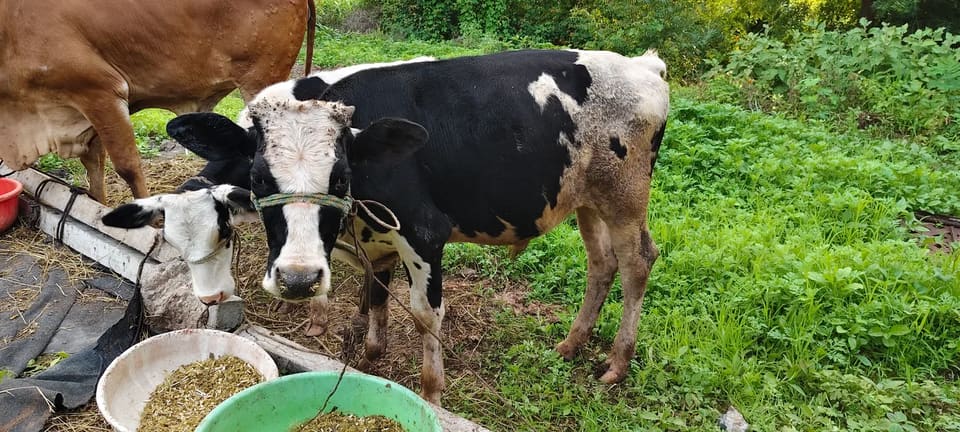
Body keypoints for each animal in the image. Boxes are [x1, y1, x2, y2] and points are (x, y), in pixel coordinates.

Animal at [138, 49, 669, 404]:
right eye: (259, 179)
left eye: (340, 176)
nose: (297, 280)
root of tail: (643, 65)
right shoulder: (375, 239)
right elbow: (375, 293)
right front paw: (371, 354)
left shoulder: (424, 233)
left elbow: (424, 315)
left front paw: (431, 395)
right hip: (585, 197)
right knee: (601, 263)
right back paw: (571, 344)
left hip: (625, 196)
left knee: (637, 263)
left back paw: (617, 362)